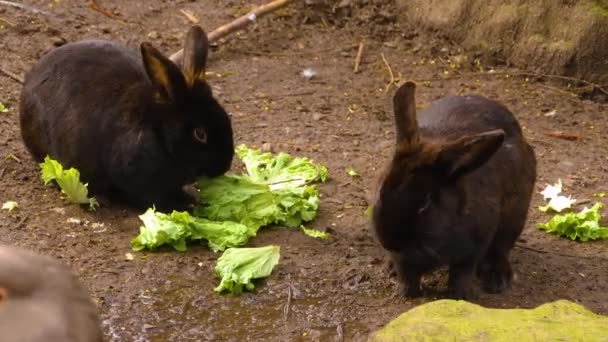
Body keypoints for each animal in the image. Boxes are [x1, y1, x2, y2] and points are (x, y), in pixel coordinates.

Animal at [18, 25, 233, 210]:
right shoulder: (137, 178)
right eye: (200, 134)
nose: (224, 167)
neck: (159, 131)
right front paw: (185, 205)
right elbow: (152, 197)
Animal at [370, 81, 536, 298]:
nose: (389, 242)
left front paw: (459, 297)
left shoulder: (472, 249)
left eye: (425, 204)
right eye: (380, 190)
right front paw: (407, 293)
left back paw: (497, 280)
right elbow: (407, 275)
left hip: (514, 218)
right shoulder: (404, 260)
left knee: (501, 250)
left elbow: (461, 275)